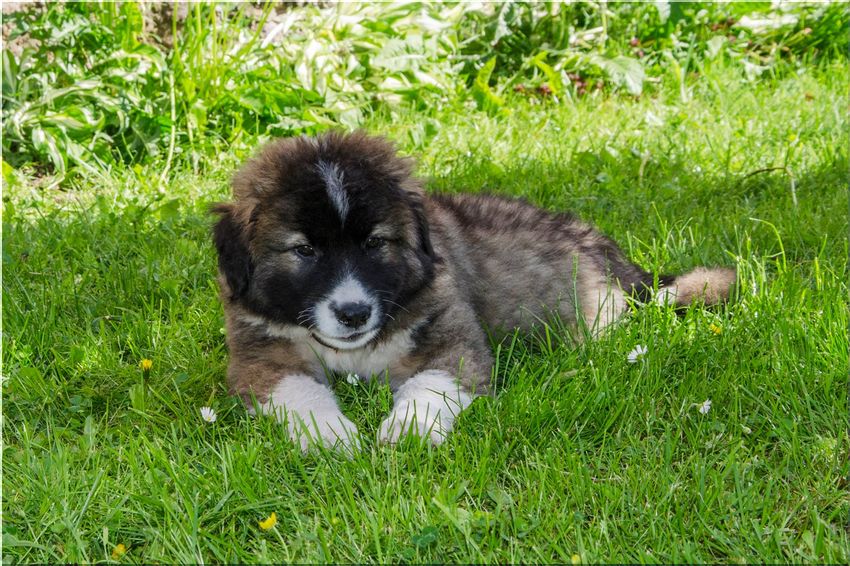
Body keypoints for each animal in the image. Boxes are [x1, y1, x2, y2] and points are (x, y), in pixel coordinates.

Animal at [212, 131, 735, 451]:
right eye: (304, 251)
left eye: (376, 243)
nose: (354, 314)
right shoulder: (260, 357)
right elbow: (299, 391)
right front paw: (331, 434)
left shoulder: (453, 339)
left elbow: (429, 385)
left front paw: (408, 431)